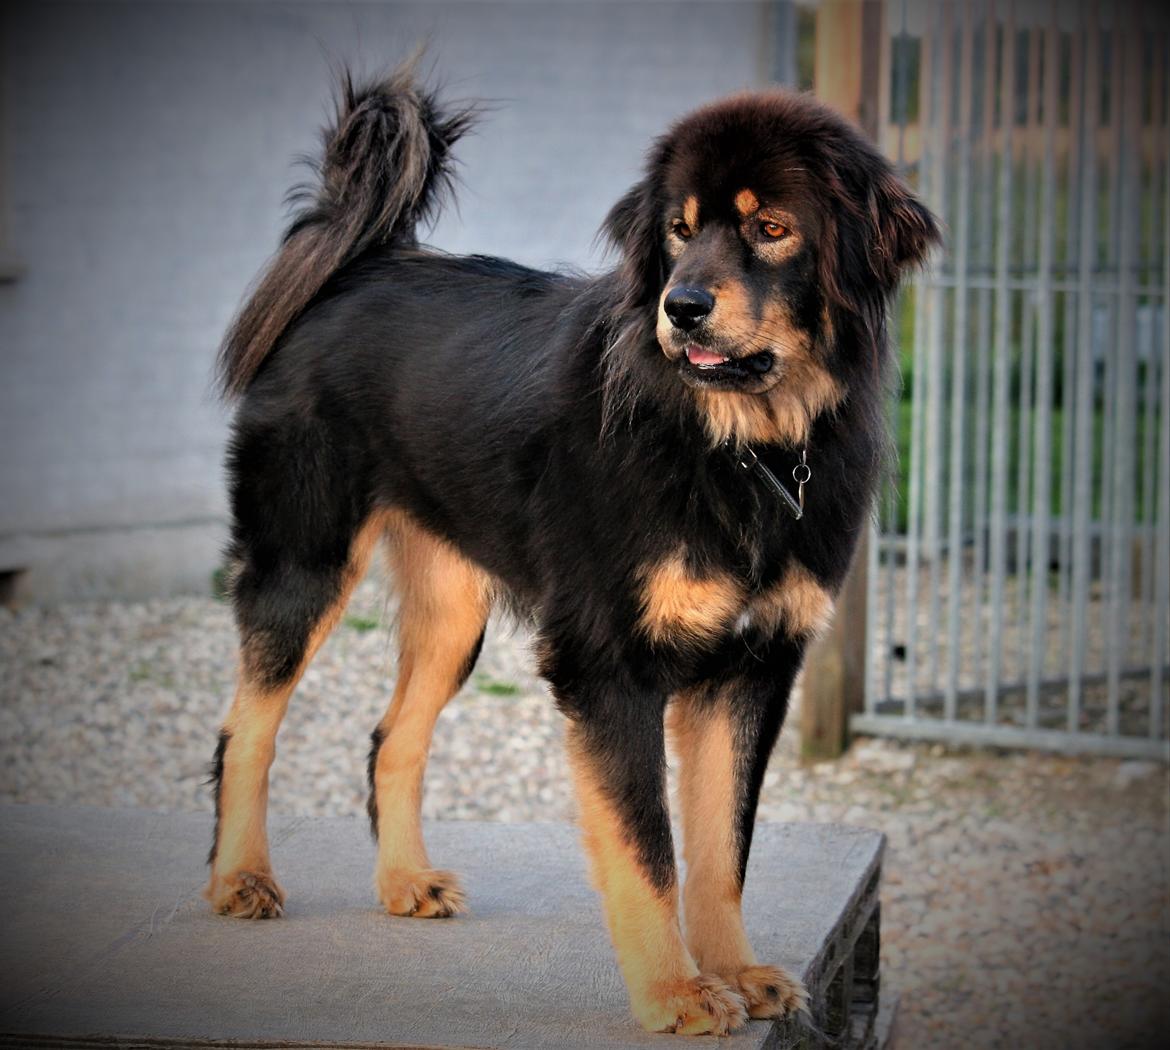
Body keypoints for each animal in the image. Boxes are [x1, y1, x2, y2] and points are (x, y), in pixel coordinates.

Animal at [208, 61, 940, 1034]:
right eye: (679, 231)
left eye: (772, 229)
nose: (682, 306)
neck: (739, 445)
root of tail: (357, 265)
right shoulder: (609, 664)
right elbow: (648, 850)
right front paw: (674, 992)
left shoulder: (752, 671)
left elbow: (722, 849)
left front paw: (735, 971)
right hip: (304, 561)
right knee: (247, 730)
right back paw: (239, 878)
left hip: (455, 616)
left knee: (390, 738)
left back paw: (403, 883)